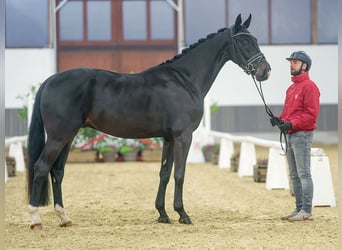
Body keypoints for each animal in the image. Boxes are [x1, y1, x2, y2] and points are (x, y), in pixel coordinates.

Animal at [27, 13, 270, 229]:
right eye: (244, 41)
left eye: (256, 40)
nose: (265, 71)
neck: (184, 80)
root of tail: (49, 80)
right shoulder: (183, 136)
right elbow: (179, 174)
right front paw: (182, 214)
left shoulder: (169, 138)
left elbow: (164, 173)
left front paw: (163, 214)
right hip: (59, 137)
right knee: (41, 167)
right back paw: (35, 219)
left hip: (68, 137)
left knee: (57, 171)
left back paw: (64, 217)